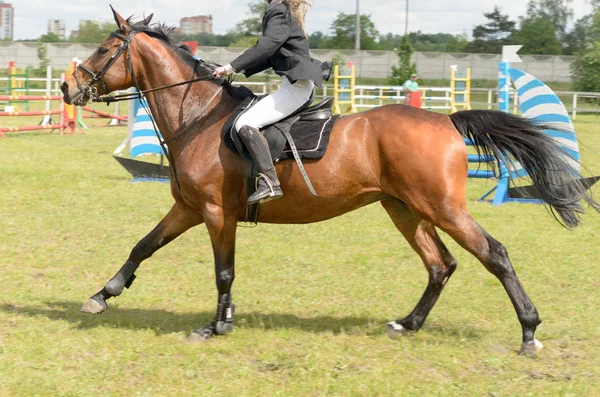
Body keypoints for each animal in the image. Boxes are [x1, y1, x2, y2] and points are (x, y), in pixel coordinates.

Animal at [62, 6, 600, 352]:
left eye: (106, 48)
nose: (68, 87)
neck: (196, 117)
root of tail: (446, 120)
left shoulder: (216, 213)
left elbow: (223, 271)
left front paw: (215, 327)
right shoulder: (188, 209)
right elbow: (143, 246)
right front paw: (102, 295)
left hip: (442, 207)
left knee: (494, 254)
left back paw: (529, 332)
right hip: (404, 209)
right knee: (440, 264)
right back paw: (408, 324)